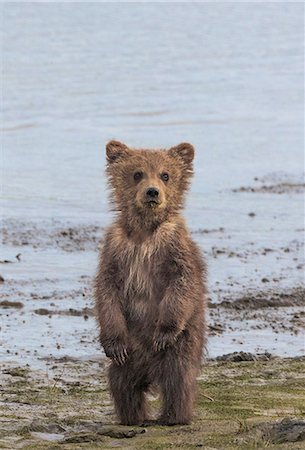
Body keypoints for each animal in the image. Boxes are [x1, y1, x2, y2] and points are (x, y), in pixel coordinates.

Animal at [93, 141, 207, 426]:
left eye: (165, 174)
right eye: (137, 174)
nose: (152, 192)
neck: (145, 232)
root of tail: (149, 372)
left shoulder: (174, 246)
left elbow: (182, 283)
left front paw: (163, 332)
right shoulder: (115, 248)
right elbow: (107, 290)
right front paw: (114, 344)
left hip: (182, 346)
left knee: (178, 379)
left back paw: (173, 417)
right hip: (132, 354)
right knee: (122, 383)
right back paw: (133, 417)